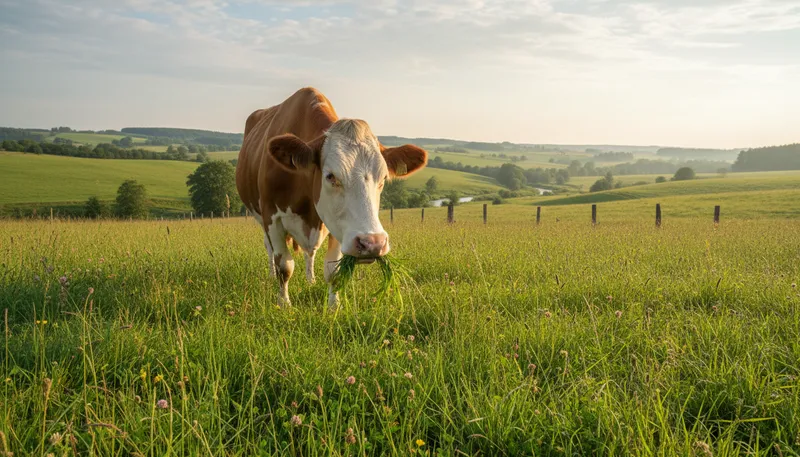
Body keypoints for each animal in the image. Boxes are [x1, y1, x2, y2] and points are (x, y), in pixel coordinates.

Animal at [236, 87, 428, 308]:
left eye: (383, 178)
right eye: (330, 176)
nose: (373, 243)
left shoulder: (337, 224)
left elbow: (332, 270)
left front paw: (334, 306)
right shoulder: (272, 218)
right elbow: (284, 265)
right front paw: (284, 304)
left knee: (310, 253)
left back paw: (310, 279)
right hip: (260, 217)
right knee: (269, 249)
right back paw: (271, 275)